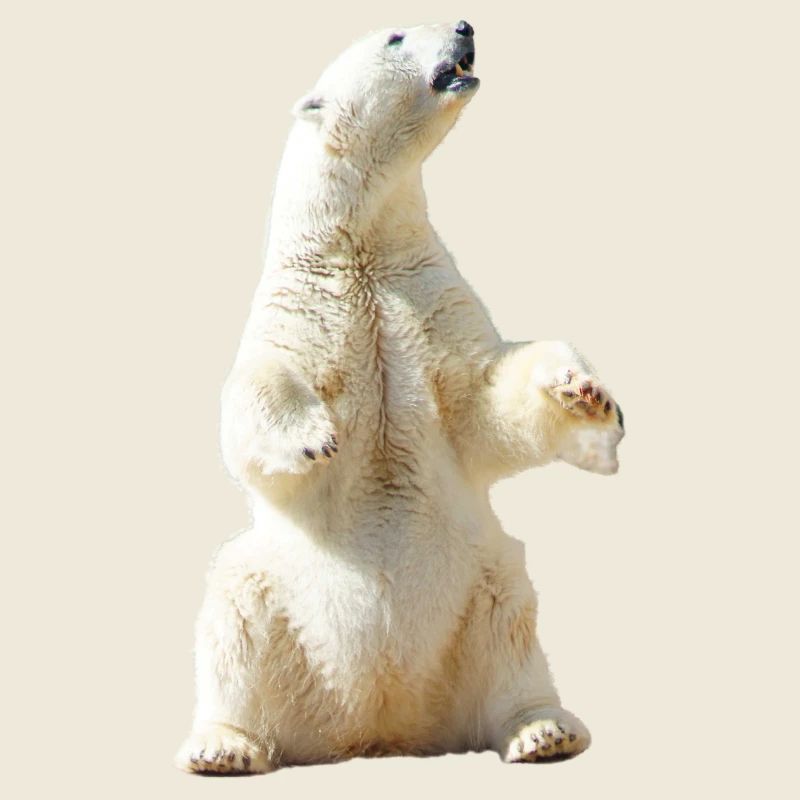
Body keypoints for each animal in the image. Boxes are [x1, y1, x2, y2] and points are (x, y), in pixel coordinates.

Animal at [175, 19, 624, 774]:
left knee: (513, 627)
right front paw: (313, 437)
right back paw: (223, 745)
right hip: (274, 599)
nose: (466, 25)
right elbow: (258, 391)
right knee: (233, 610)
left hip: (481, 588)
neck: (361, 245)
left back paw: (542, 731)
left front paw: (587, 395)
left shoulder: (426, 293)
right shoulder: (306, 304)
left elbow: (483, 399)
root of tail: (381, 726)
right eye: (394, 36)